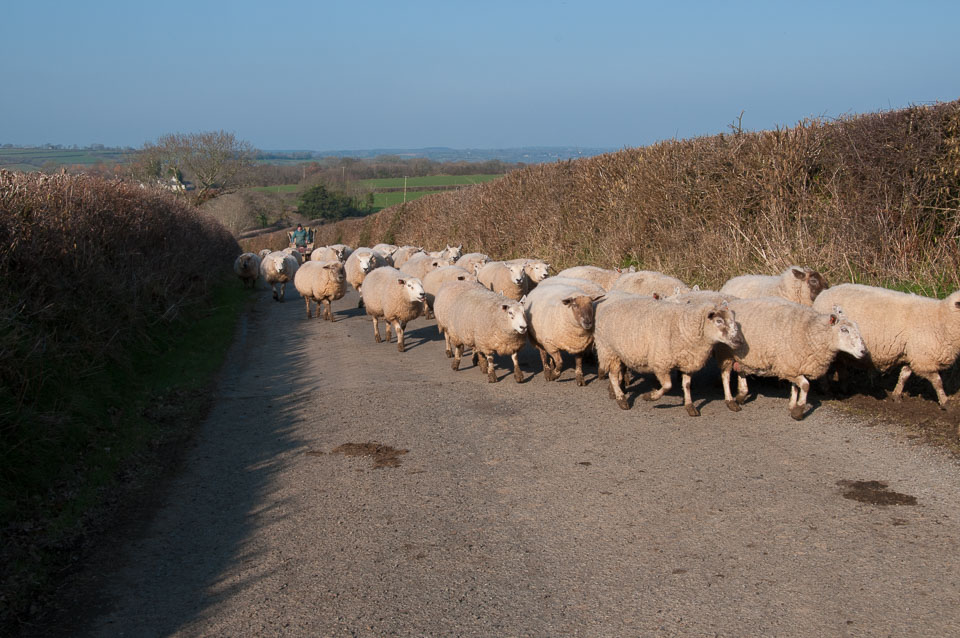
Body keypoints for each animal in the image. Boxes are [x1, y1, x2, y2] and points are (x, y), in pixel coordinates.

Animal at [592, 294, 744, 418]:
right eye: (719, 321)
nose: (739, 341)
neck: (685, 326)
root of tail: (608, 306)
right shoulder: (661, 362)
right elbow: (667, 386)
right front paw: (650, 396)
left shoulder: (687, 361)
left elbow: (686, 385)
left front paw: (690, 406)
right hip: (608, 350)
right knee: (612, 374)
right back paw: (621, 399)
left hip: (620, 353)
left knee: (618, 372)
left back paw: (616, 391)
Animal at [716, 298, 868, 422]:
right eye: (844, 329)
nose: (863, 351)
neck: (810, 331)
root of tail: (728, 306)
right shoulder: (789, 364)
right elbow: (805, 385)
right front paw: (798, 411)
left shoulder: (794, 365)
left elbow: (796, 386)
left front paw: (792, 405)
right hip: (726, 353)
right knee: (725, 375)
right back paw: (730, 401)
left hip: (743, 356)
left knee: (741, 370)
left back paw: (741, 394)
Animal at [812, 286, 960, 410]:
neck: (942, 319)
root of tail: (822, 294)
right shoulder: (924, 359)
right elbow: (937, 381)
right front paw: (945, 402)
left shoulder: (912, 354)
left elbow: (904, 375)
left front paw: (896, 395)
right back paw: (826, 389)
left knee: (840, 365)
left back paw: (843, 387)